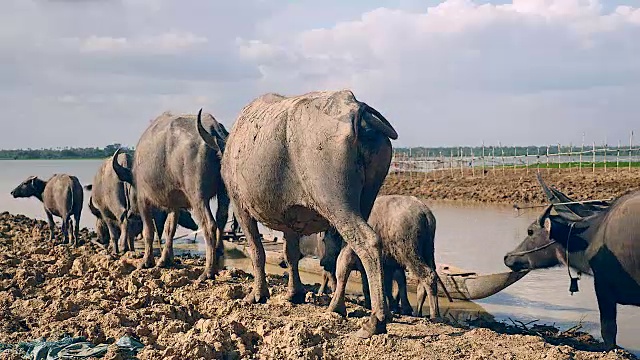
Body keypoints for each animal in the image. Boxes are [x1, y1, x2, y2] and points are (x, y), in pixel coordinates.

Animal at [114, 110, 231, 282]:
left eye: (132, 189)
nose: (130, 214)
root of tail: (214, 129)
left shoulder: (144, 201)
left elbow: (149, 231)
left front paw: (147, 261)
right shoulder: (174, 204)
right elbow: (170, 229)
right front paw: (165, 260)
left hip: (198, 197)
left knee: (209, 225)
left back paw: (207, 272)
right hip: (225, 193)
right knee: (222, 218)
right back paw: (216, 258)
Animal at [199, 89, 400, 338]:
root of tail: (354, 108)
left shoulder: (241, 208)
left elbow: (257, 252)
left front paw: (258, 294)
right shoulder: (291, 219)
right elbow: (291, 254)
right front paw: (294, 293)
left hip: (337, 204)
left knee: (368, 242)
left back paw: (375, 320)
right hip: (365, 201)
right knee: (347, 254)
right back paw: (338, 306)